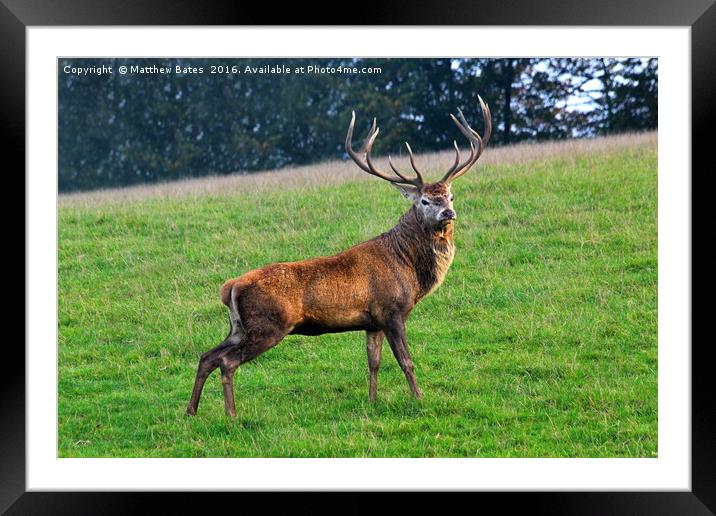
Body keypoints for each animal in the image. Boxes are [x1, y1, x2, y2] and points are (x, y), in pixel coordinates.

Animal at [186, 98, 492, 420]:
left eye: (450, 196)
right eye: (424, 200)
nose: (447, 212)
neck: (408, 267)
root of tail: (229, 287)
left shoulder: (373, 322)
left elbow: (374, 362)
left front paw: (372, 401)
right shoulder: (392, 311)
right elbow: (405, 361)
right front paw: (418, 399)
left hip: (237, 326)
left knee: (207, 356)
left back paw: (191, 411)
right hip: (268, 325)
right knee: (227, 361)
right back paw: (231, 414)